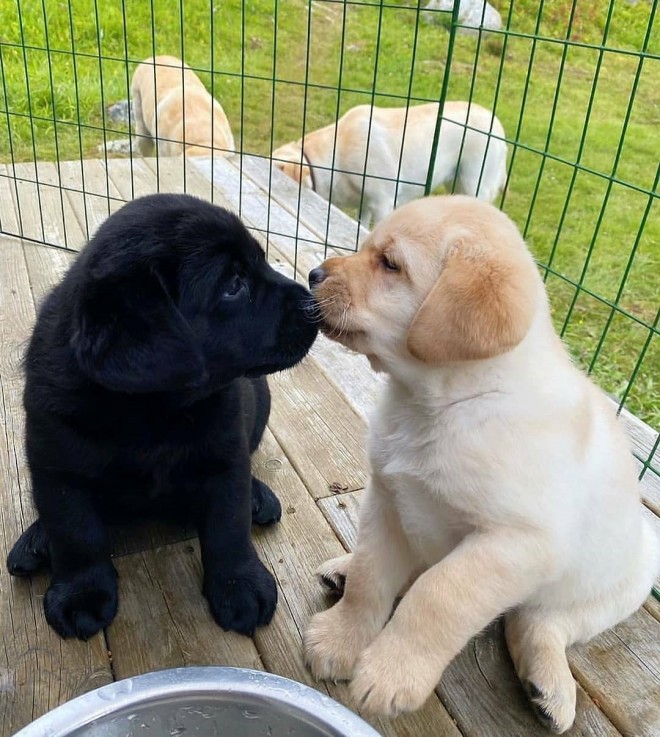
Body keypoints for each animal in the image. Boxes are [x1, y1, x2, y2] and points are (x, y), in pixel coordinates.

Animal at [6, 193, 318, 640]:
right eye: (233, 285)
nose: (316, 304)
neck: (152, 410)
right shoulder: (57, 466)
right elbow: (75, 532)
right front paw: (81, 593)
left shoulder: (225, 455)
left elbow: (229, 524)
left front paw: (239, 585)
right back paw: (36, 541)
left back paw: (259, 496)